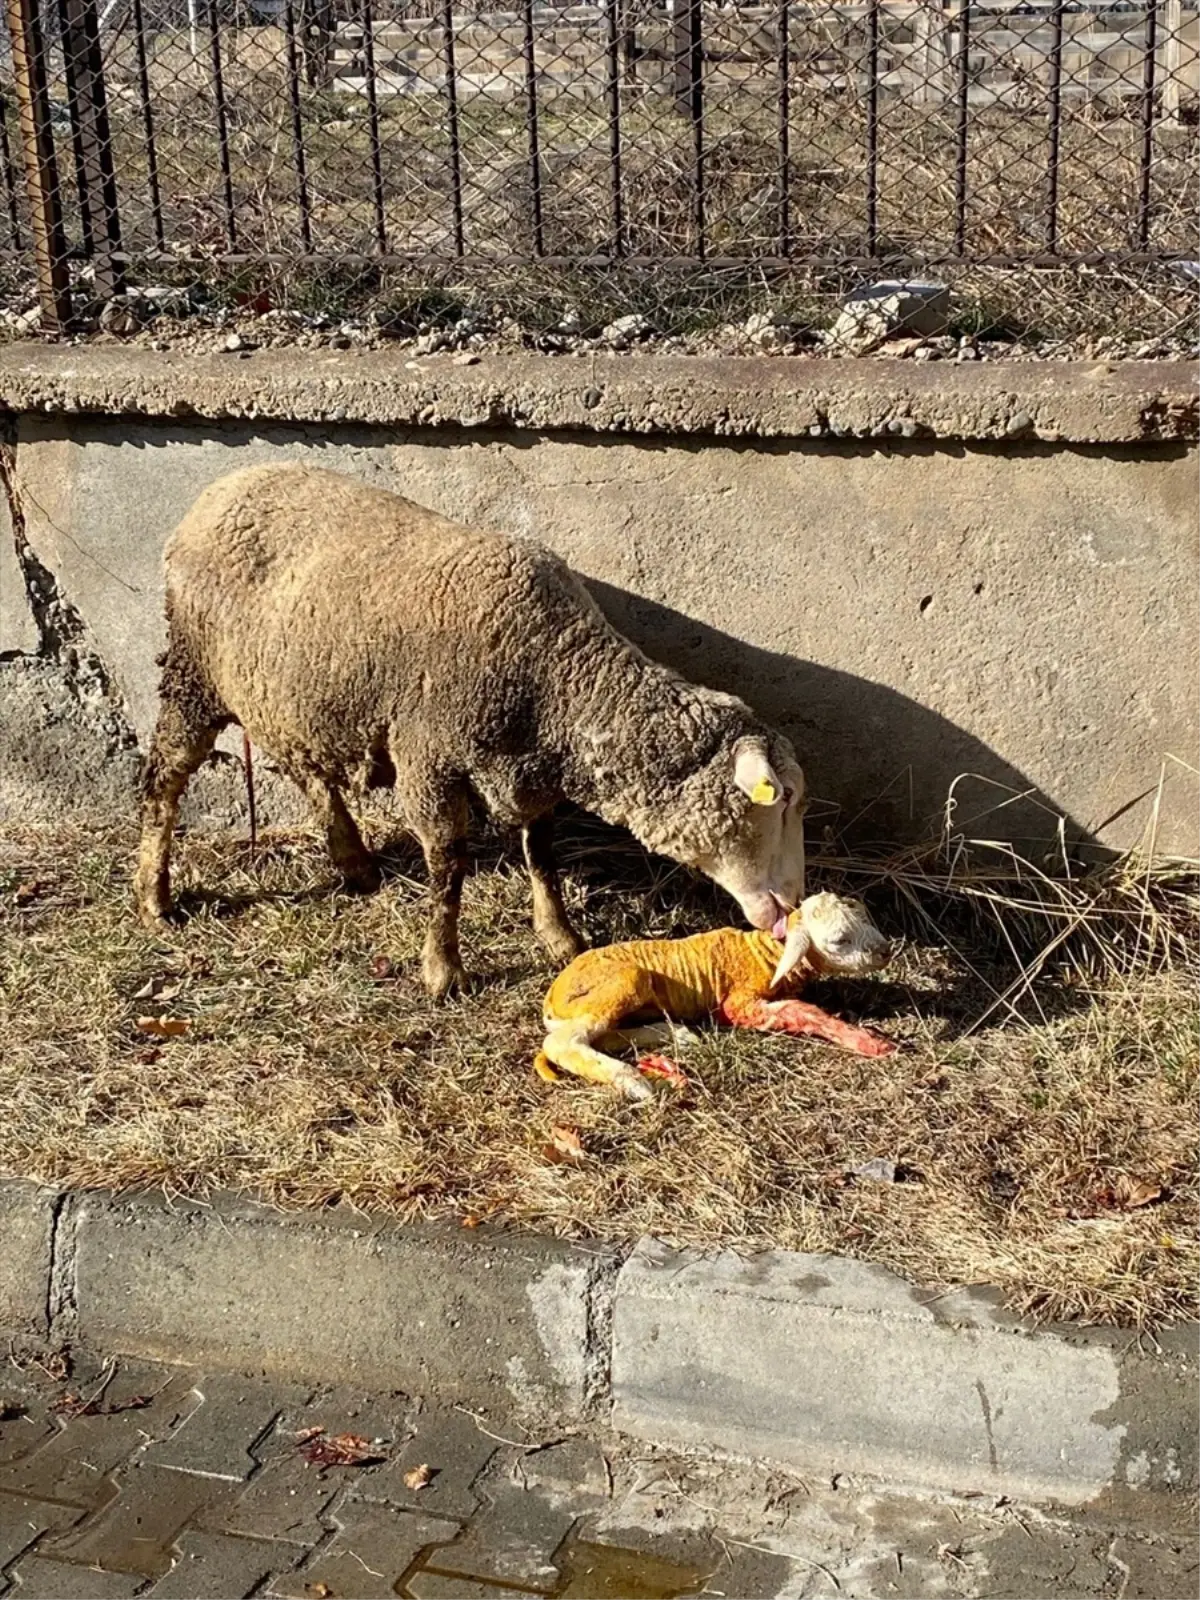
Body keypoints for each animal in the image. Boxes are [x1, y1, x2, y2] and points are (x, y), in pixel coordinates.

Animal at [133, 457, 809, 992]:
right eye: (778, 803)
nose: (794, 905)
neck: (556, 671)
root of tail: (221, 487)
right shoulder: (428, 759)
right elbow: (448, 865)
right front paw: (443, 969)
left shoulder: (530, 772)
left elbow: (543, 853)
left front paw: (559, 936)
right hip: (194, 673)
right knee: (164, 777)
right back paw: (154, 894)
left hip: (288, 691)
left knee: (304, 769)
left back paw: (354, 863)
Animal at [540, 889, 896, 1100]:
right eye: (839, 940)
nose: (885, 951)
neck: (767, 952)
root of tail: (552, 996)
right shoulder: (736, 1004)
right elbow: (798, 1010)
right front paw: (870, 1042)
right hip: (623, 980)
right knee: (561, 1044)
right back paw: (634, 1081)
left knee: (601, 1035)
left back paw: (677, 1034)